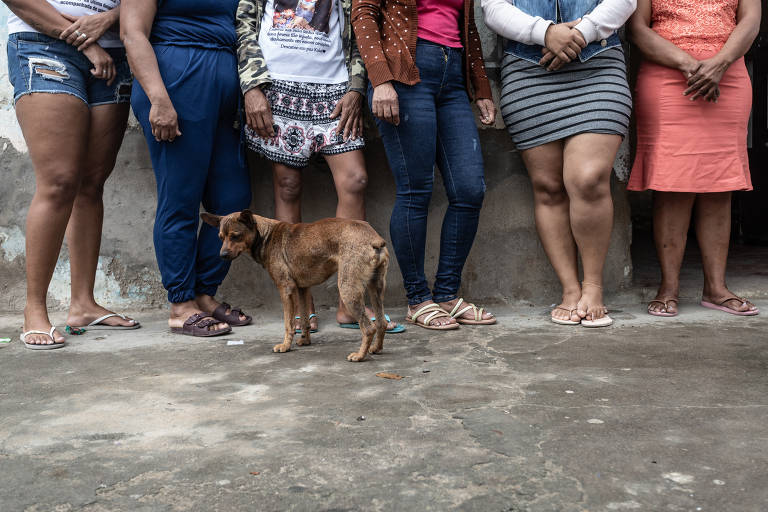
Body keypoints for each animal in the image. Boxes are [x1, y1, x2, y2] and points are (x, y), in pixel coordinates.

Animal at [202, 210, 390, 362]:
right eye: (221, 238)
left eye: (235, 236)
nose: (222, 255)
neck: (266, 235)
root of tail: (373, 238)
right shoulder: (302, 289)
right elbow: (304, 318)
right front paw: (305, 340)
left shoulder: (285, 289)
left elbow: (288, 323)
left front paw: (285, 346)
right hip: (376, 288)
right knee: (381, 323)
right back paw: (376, 349)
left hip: (348, 289)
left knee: (369, 328)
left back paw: (360, 356)